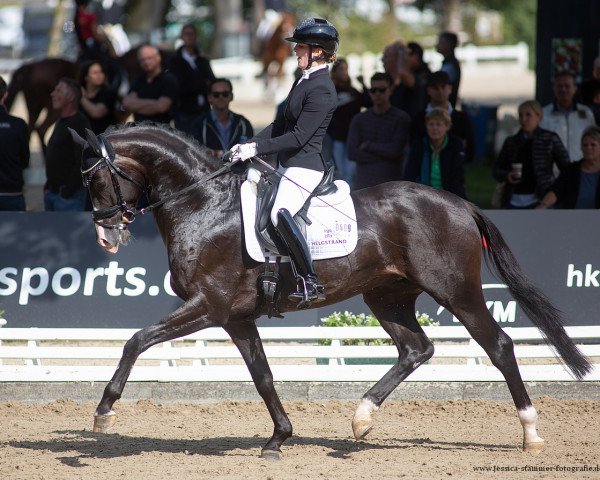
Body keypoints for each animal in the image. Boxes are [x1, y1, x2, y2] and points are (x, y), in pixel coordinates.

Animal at [74, 122, 592, 460]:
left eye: (97, 178)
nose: (105, 238)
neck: (205, 205)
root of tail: (460, 203)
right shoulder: (236, 317)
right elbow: (263, 377)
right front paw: (279, 438)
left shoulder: (210, 306)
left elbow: (136, 340)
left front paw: (104, 412)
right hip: (386, 297)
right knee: (416, 348)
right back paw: (362, 418)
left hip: (456, 291)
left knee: (498, 345)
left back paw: (530, 433)